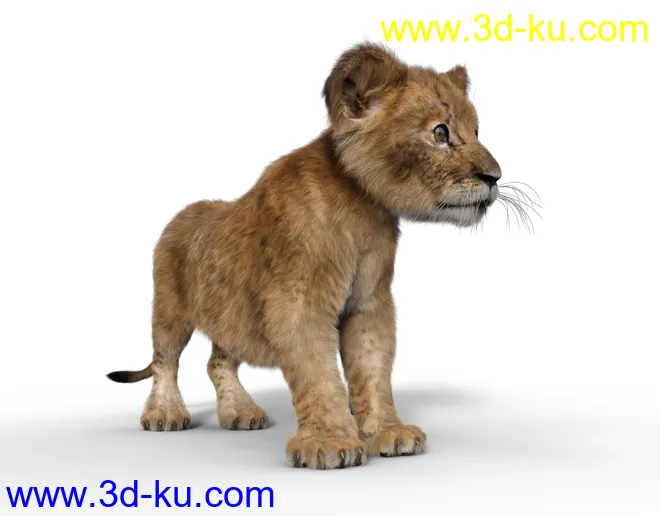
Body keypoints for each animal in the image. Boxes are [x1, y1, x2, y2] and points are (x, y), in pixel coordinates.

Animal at [107, 42, 502, 470]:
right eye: (441, 133)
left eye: (476, 132)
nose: (495, 177)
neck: (364, 208)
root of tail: (179, 215)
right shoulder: (298, 301)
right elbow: (317, 372)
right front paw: (329, 443)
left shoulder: (369, 303)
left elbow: (373, 369)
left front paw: (388, 432)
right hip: (170, 309)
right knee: (165, 360)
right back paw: (164, 414)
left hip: (228, 315)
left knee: (218, 362)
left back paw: (242, 412)